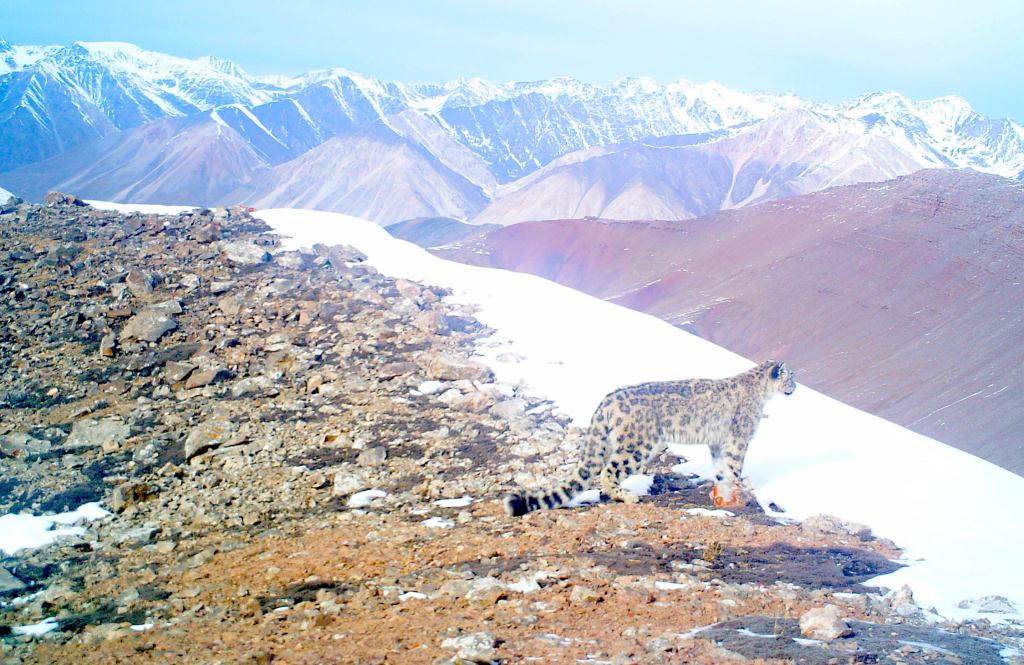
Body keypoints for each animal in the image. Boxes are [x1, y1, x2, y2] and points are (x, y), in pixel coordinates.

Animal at [503, 360, 796, 517]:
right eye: (791, 376)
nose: (795, 386)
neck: (762, 394)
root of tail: (606, 401)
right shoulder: (739, 437)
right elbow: (734, 465)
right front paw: (740, 486)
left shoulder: (717, 441)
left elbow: (721, 467)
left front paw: (725, 489)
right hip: (637, 446)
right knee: (608, 471)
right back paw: (627, 496)